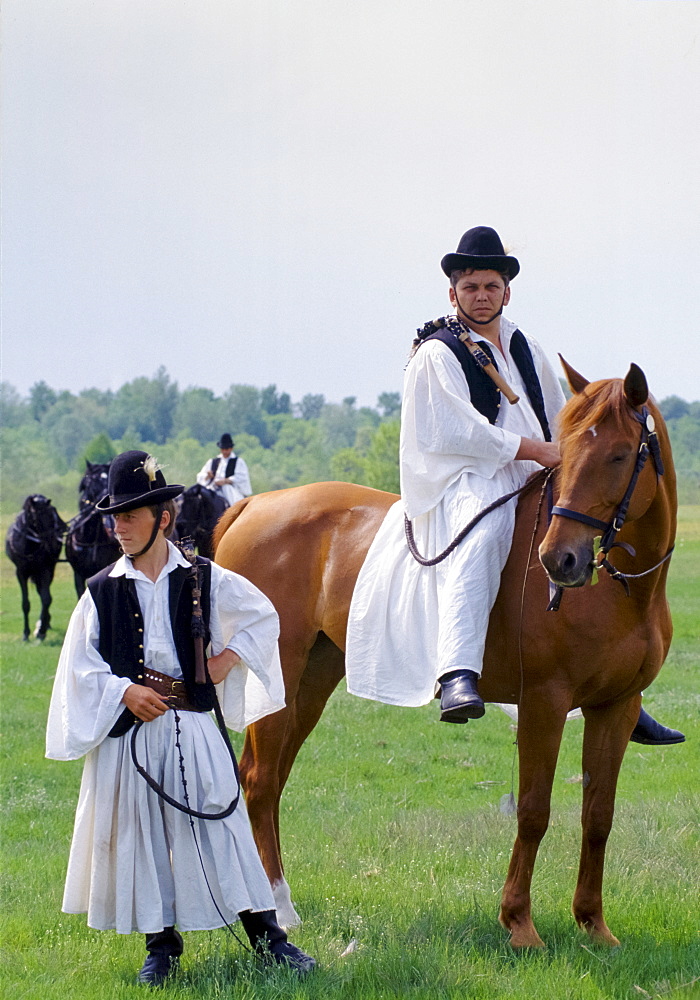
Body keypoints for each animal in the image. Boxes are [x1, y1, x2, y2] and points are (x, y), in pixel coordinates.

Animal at [5, 492, 67, 640]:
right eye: (42, 514)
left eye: (54, 511)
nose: (62, 530)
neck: (29, 545)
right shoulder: (21, 573)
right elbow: (25, 603)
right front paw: (26, 633)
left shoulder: (44, 570)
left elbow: (46, 599)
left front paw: (41, 631)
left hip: (49, 570)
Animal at [215, 364, 680, 948]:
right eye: (567, 452)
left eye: (619, 456)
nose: (559, 560)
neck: (624, 595)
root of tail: (253, 505)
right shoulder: (545, 703)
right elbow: (533, 811)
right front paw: (519, 924)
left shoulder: (616, 706)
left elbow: (599, 815)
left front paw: (594, 925)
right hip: (279, 677)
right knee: (259, 780)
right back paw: (277, 908)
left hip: (312, 680)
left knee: (270, 777)